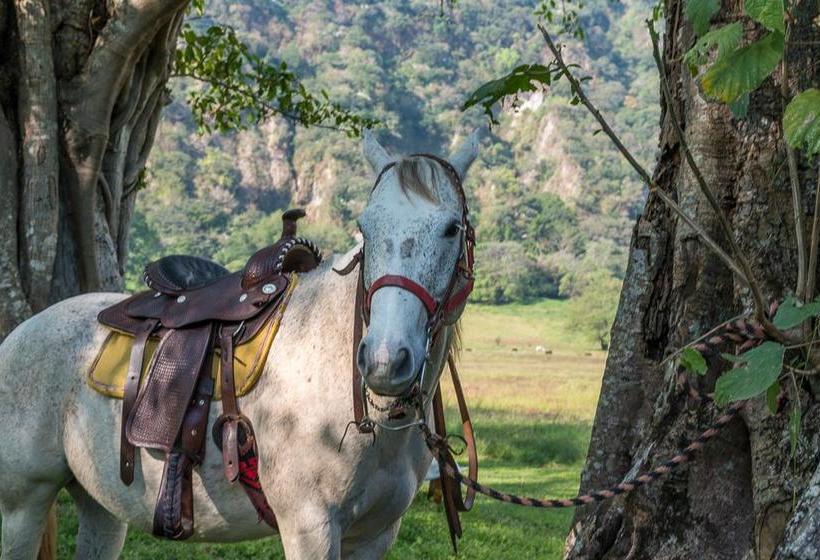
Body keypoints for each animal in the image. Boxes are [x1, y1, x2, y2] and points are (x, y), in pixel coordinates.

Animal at [0, 129, 480, 556]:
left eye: (452, 228)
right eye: (366, 227)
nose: (384, 360)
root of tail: (21, 333)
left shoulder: (375, 536)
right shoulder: (311, 528)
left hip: (101, 506)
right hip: (22, 507)